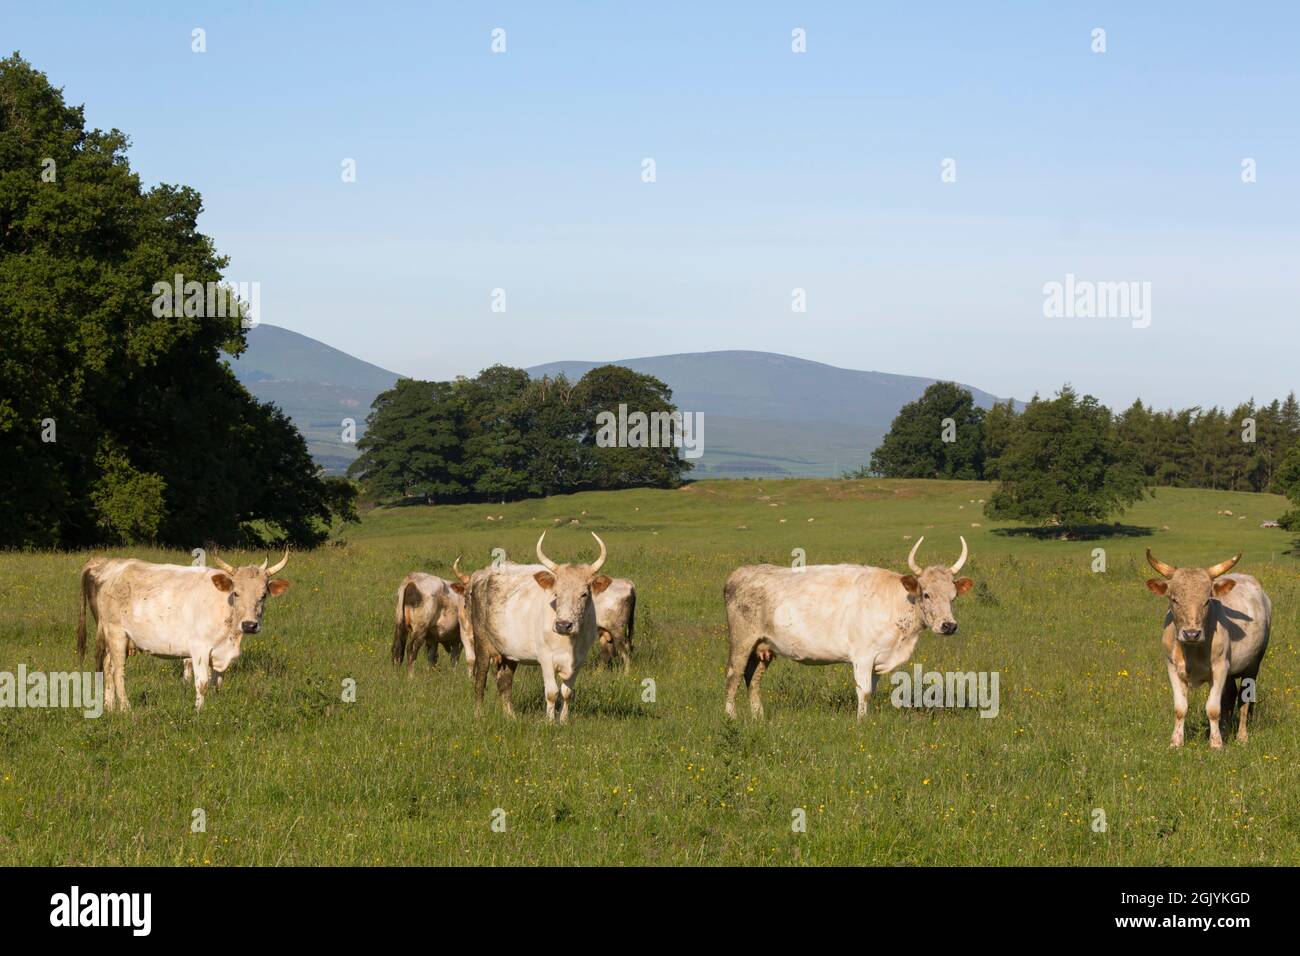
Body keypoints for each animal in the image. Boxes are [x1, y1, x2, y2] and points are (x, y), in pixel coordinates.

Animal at [77, 546, 291, 712]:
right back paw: (125, 709)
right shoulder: (199, 648)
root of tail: (109, 564)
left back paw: (109, 706)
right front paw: (199, 711)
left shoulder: (221, 652)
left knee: (107, 666)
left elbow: (217, 683)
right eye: (236, 593)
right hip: (116, 633)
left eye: (263, 595)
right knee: (117, 672)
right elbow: (202, 683)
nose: (249, 625)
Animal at [467, 530, 613, 723]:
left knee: (505, 682)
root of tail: (482, 574)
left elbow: (567, 693)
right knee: (480, 680)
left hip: (509, 651)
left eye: (584, 594)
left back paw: (511, 716)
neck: (569, 643)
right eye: (556, 594)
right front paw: (550, 721)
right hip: (482, 643)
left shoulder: (579, 661)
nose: (563, 625)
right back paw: (478, 714)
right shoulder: (545, 658)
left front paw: (564, 721)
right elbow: (551, 693)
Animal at [722, 538, 977, 717]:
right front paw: (861, 723)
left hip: (763, 646)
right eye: (926, 594)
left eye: (953, 596)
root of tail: (742, 572)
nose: (948, 625)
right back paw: (731, 718)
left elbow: (871, 692)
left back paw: (758, 717)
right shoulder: (863, 656)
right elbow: (863, 691)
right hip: (742, 640)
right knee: (734, 675)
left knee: (753, 678)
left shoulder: (877, 660)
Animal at [1149, 548, 1268, 749]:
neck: (1191, 650)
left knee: (1244, 698)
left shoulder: (1220, 667)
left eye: (1206, 601)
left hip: (1253, 663)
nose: (1191, 633)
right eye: (1174, 599)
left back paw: (1241, 736)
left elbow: (1213, 708)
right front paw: (1176, 742)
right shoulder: (1172, 667)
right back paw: (1225, 730)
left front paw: (1216, 744)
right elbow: (1180, 708)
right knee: (1229, 696)